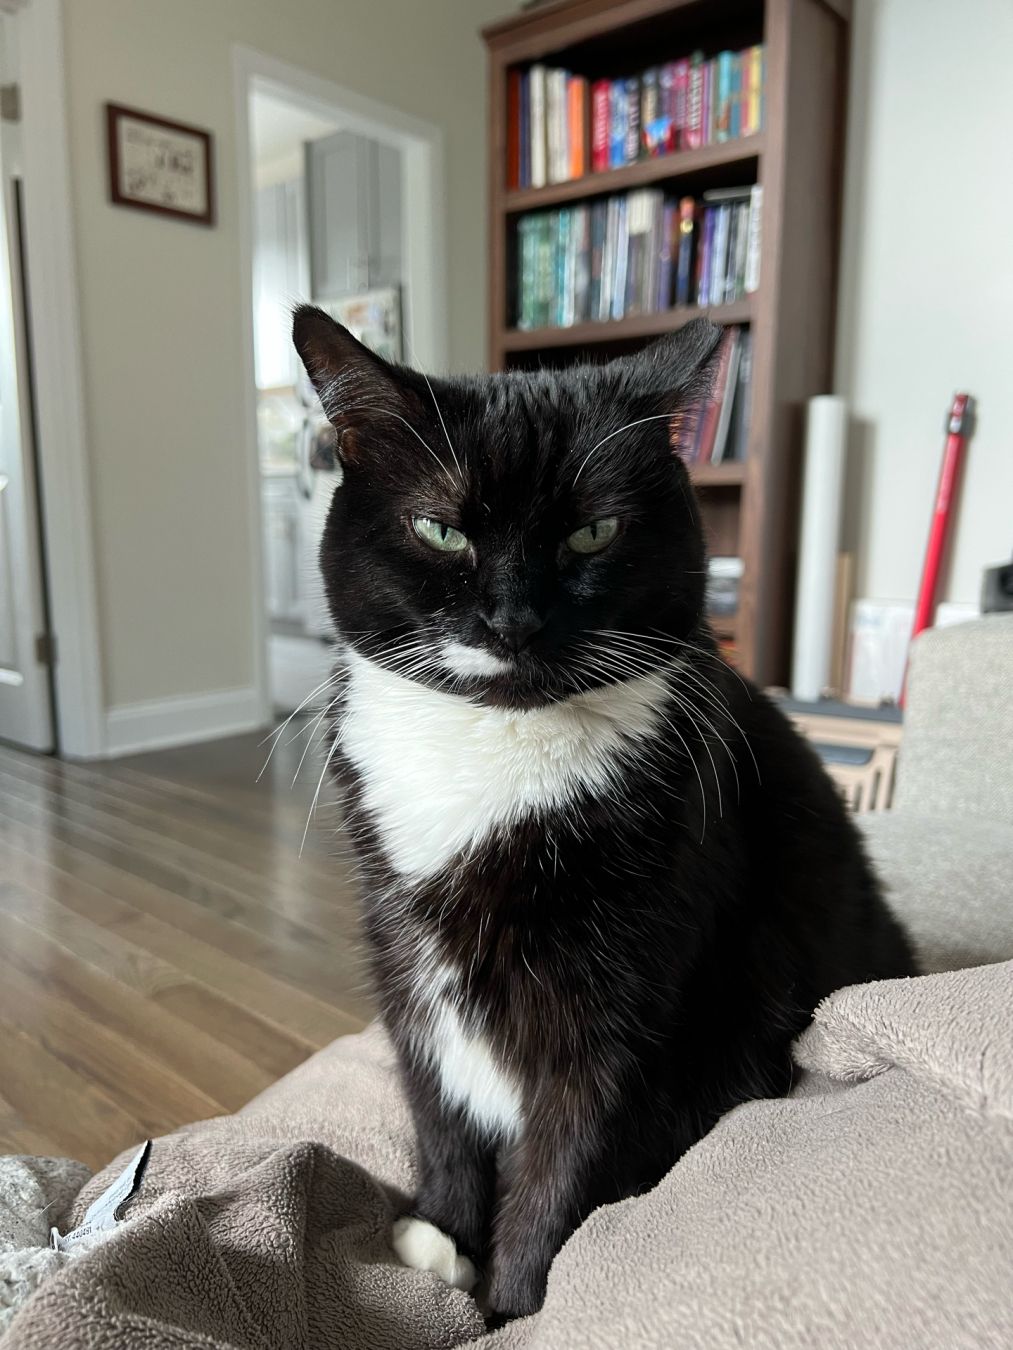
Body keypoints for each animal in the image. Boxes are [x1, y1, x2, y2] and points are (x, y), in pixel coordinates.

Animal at [289, 306, 918, 1317]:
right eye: (438, 530)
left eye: (592, 533)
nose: (510, 619)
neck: (495, 751)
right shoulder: (404, 963)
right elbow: (437, 1106)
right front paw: (442, 1239)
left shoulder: (624, 1012)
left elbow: (561, 1172)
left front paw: (508, 1310)